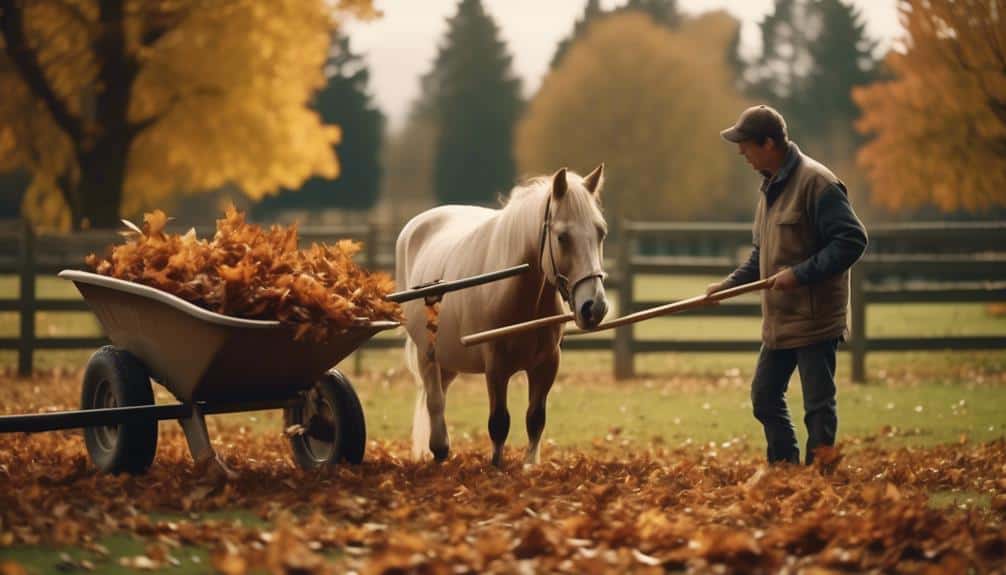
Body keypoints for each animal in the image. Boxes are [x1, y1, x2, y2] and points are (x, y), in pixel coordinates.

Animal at [395, 165, 609, 466]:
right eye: (562, 237)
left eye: (601, 233)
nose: (594, 307)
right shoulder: (496, 367)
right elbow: (499, 423)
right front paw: (496, 467)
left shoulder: (547, 365)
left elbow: (535, 420)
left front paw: (530, 466)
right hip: (427, 352)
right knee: (434, 400)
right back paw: (439, 449)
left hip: (448, 358)